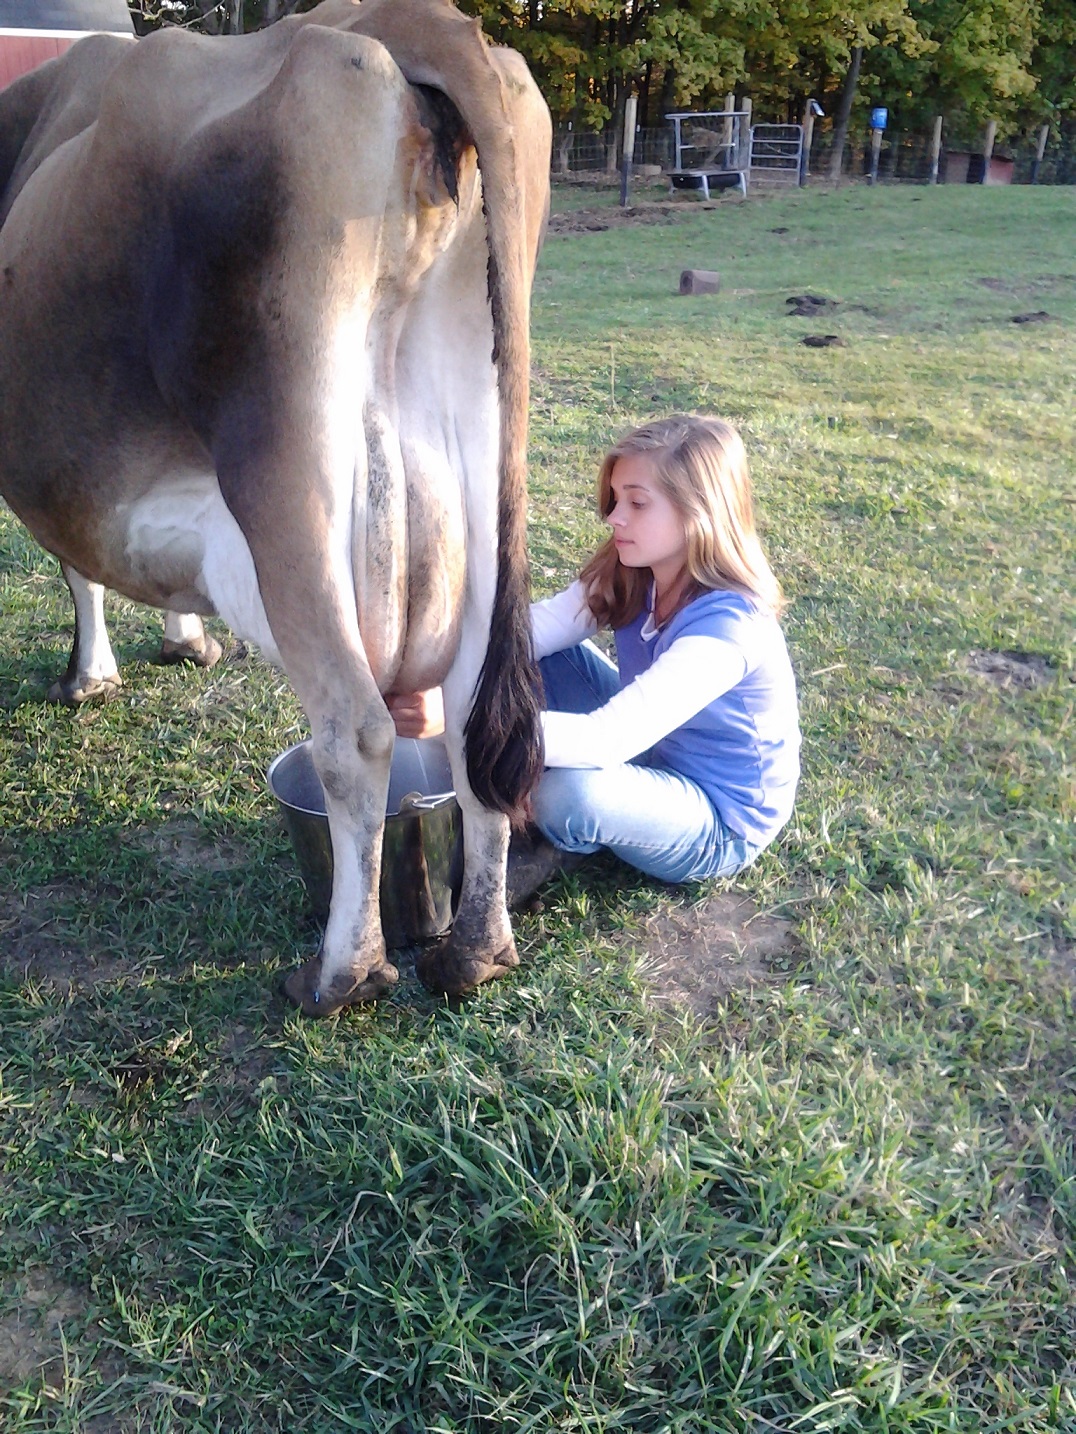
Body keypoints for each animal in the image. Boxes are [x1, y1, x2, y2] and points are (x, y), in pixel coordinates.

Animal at [0, 0, 551, 1013]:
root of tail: (417, 22)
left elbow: (72, 564)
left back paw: (340, 974)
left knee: (356, 730)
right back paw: (473, 952)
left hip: (282, 466)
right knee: (474, 730)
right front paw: (182, 636)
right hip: (486, 466)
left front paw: (91, 673)